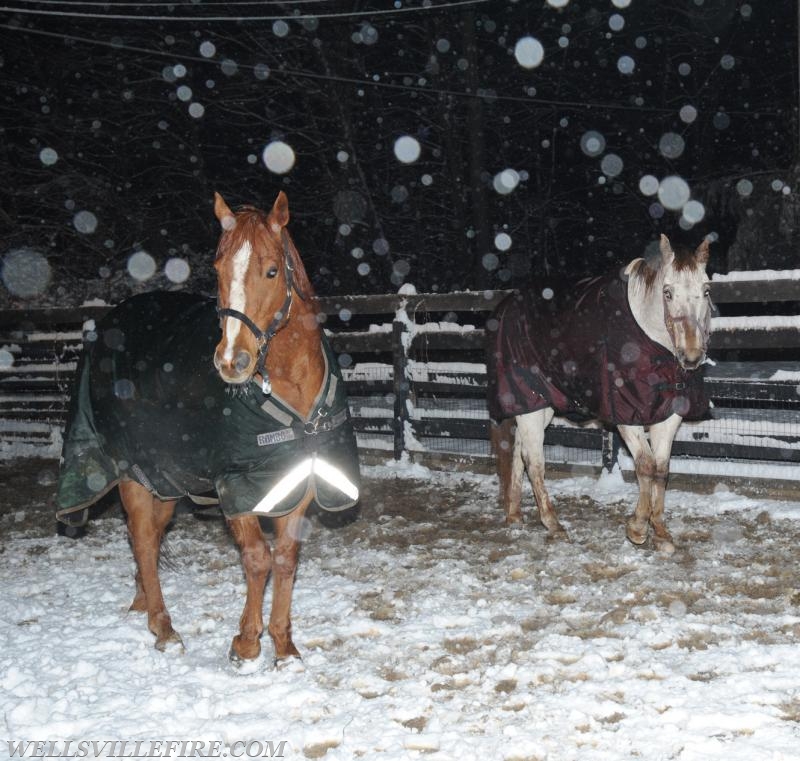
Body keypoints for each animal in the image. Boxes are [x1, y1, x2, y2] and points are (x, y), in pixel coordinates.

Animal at [56, 191, 356, 664]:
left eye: (272, 270)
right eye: (218, 270)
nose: (232, 361)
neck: (287, 388)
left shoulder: (299, 478)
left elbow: (286, 559)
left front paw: (284, 646)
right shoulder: (235, 485)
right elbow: (257, 558)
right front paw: (246, 643)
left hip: (165, 479)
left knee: (148, 538)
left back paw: (143, 601)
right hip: (131, 473)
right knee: (143, 538)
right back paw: (163, 628)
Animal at [488, 233, 712, 552]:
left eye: (706, 290)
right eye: (667, 293)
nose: (691, 356)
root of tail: (504, 308)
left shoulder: (668, 413)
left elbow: (661, 469)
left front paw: (660, 531)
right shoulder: (626, 415)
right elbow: (645, 466)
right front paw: (637, 528)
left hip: (538, 405)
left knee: (519, 451)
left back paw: (515, 514)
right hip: (530, 402)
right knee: (534, 461)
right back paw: (553, 524)